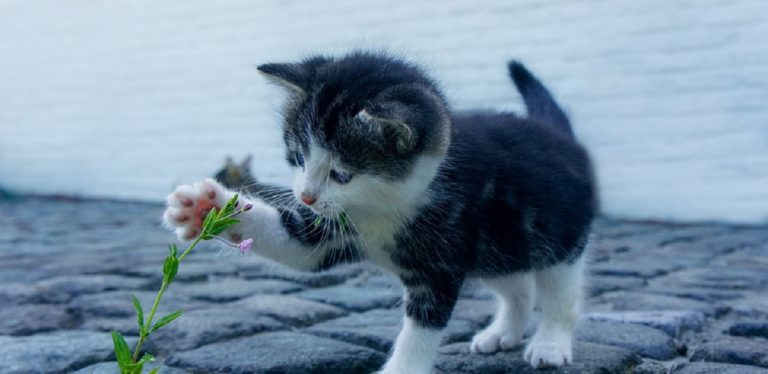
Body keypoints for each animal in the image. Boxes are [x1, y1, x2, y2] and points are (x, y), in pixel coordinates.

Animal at [162, 51, 596, 374]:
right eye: (298, 157)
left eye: (341, 174)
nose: (304, 196)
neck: (383, 207)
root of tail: (560, 136)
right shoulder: (333, 228)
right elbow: (297, 246)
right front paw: (205, 207)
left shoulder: (440, 262)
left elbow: (421, 329)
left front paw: (403, 366)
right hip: (497, 246)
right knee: (517, 285)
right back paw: (502, 332)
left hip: (557, 236)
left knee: (560, 292)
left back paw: (550, 343)